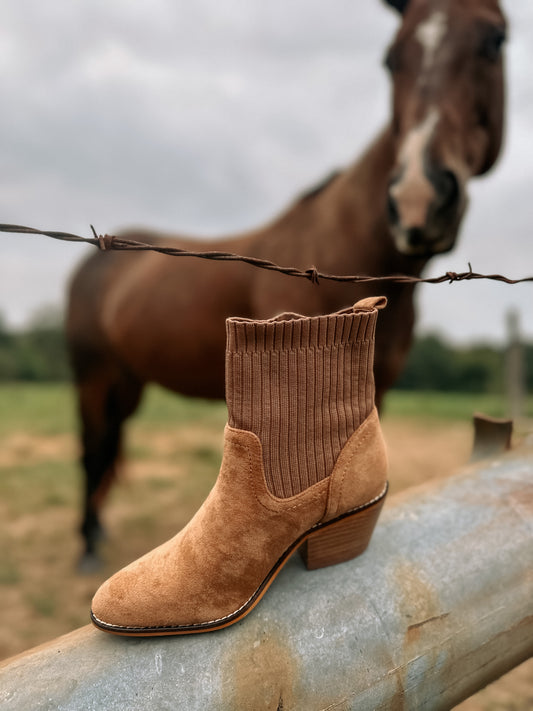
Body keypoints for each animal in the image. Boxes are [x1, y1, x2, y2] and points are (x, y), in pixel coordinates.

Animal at [67, 0, 508, 568]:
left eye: (494, 41)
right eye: (391, 59)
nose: (418, 197)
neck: (348, 247)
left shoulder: (378, 388)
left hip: (127, 379)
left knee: (107, 446)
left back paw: (97, 533)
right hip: (92, 375)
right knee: (91, 450)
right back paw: (86, 544)